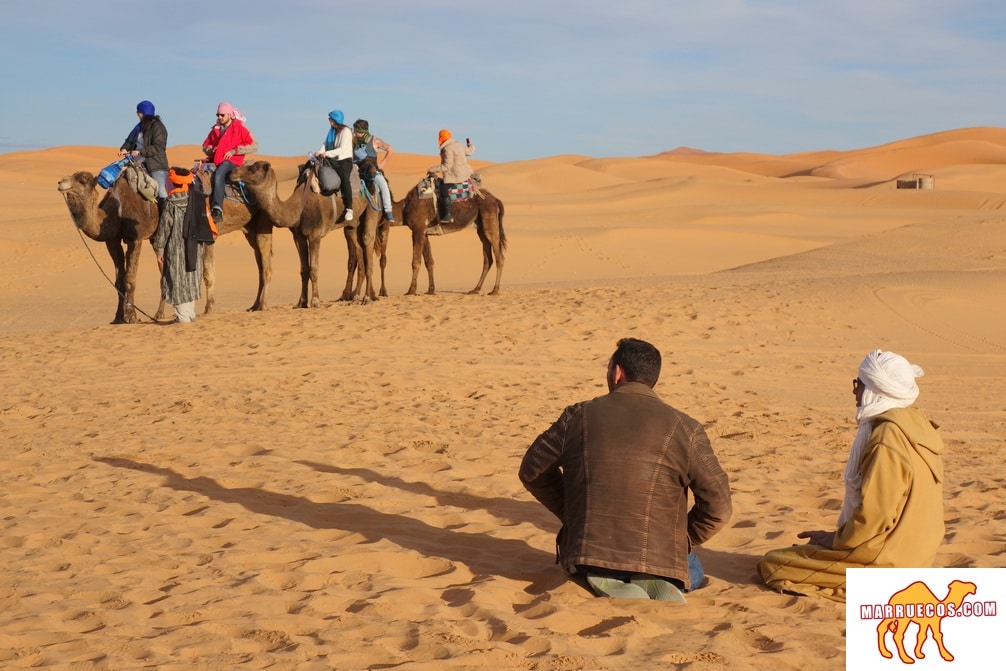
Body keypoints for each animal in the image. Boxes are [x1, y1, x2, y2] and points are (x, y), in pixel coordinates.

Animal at [57, 163, 169, 323]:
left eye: (83, 180)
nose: (61, 182)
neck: (115, 214)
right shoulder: (112, 241)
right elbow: (119, 282)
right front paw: (118, 317)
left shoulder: (136, 239)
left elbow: (130, 279)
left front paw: (131, 316)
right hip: (155, 238)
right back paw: (160, 313)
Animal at [228, 160, 378, 307]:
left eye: (252, 169)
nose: (232, 172)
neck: (298, 207)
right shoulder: (298, 236)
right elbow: (304, 270)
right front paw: (302, 302)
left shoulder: (315, 235)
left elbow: (314, 269)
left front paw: (316, 301)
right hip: (351, 225)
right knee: (358, 248)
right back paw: (356, 297)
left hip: (373, 206)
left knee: (367, 243)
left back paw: (367, 298)